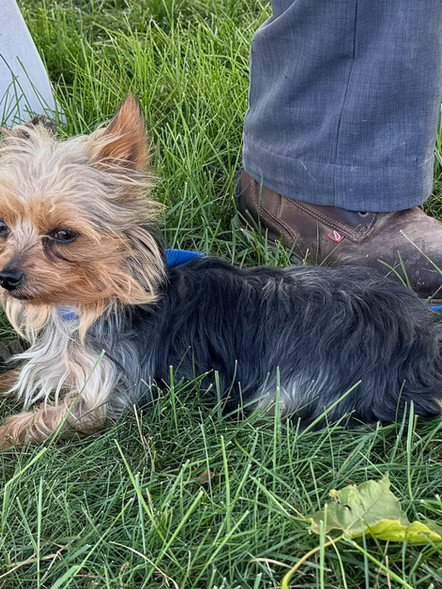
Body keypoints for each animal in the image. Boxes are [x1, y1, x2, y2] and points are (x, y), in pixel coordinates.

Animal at [0, 95, 442, 446]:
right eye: (3, 226)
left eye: (63, 234)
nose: (7, 277)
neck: (86, 305)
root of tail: (421, 345)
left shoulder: (110, 394)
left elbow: (45, 419)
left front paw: (7, 431)